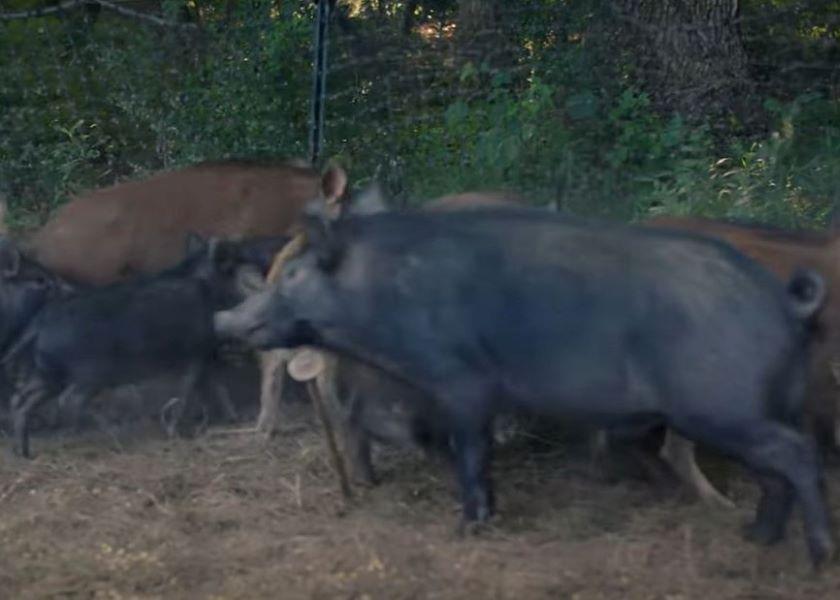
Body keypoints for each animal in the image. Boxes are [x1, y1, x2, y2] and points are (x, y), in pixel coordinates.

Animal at [215, 206, 834, 567]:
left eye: (294, 277)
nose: (224, 317)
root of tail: (784, 301)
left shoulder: (463, 382)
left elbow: (469, 452)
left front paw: (468, 526)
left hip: (723, 407)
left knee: (800, 455)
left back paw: (818, 555)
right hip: (756, 406)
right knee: (775, 471)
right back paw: (756, 538)